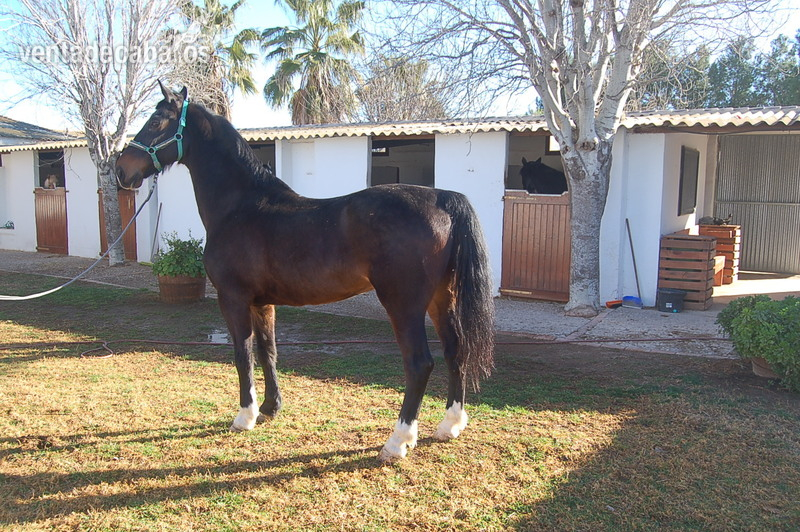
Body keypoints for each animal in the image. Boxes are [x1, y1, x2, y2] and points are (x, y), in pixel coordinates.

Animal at [115, 82, 495, 463]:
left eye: (155, 121)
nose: (120, 170)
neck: (240, 206)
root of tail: (443, 198)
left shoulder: (233, 298)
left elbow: (242, 354)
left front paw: (244, 416)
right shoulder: (262, 302)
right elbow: (267, 351)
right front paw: (270, 408)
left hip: (403, 304)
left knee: (419, 363)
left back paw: (397, 442)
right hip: (441, 299)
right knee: (455, 351)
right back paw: (450, 425)